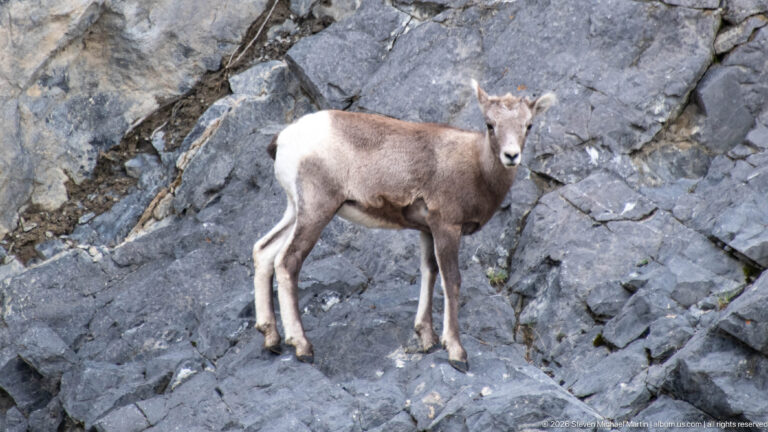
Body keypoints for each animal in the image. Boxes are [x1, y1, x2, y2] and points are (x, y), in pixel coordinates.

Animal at [252, 80, 556, 372]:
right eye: (490, 124)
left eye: (528, 125)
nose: (511, 156)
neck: (477, 169)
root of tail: (284, 139)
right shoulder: (447, 227)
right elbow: (451, 281)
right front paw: (456, 353)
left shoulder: (427, 230)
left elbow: (429, 273)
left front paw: (428, 340)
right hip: (317, 210)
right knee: (287, 261)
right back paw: (302, 346)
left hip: (296, 211)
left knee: (264, 251)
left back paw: (272, 340)